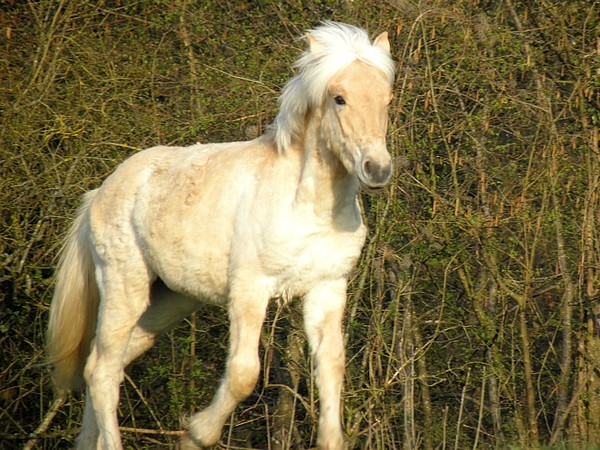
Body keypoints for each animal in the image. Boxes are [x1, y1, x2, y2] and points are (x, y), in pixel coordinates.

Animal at [45, 22, 394, 450]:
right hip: (124, 286)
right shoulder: (250, 288)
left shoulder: (327, 288)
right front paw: (196, 433)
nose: (377, 169)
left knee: (107, 361)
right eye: (339, 98)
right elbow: (244, 373)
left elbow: (331, 370)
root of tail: (100, 192)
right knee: (102, 370)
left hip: (172, 299)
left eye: (387, 99)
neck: (311, 208)